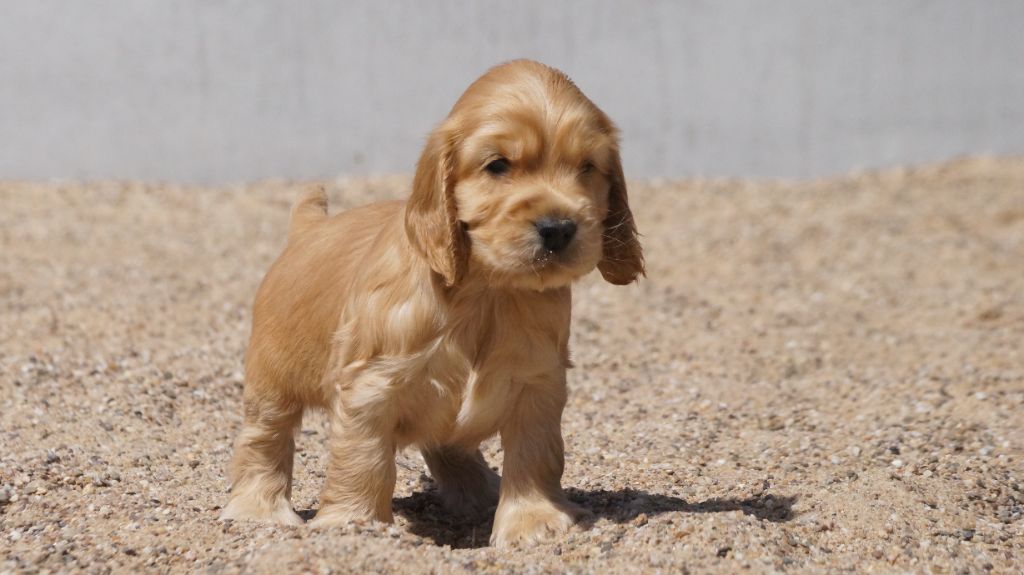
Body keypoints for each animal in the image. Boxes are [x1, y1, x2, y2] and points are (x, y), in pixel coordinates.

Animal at [221, 59, 643, 544]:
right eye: (498, 165)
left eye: (587, 167)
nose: (558, 228)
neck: (487, 290)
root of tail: (306, 229)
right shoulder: (371, 385)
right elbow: (362, 459)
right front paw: (354, 524)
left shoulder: (536, 383)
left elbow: (535, 455)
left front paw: (532, 521)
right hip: (271, 380)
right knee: (264, 438)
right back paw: (258, 509)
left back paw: (479, 491)